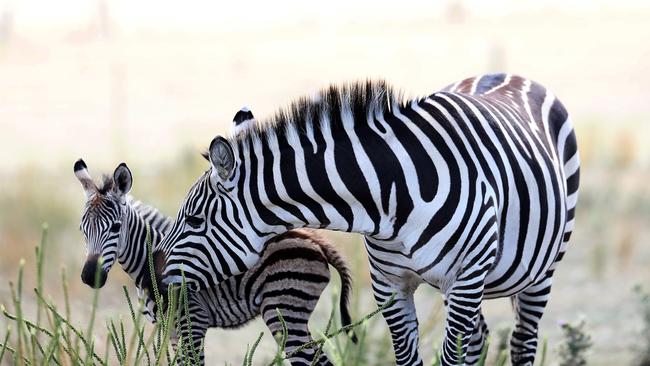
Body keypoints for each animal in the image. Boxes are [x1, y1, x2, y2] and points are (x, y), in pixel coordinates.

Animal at [161, 74, 576, 366]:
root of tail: (504, 74)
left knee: (521, 342)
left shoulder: (466, 276)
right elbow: (408, 357)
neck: (391, 199)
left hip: (539, 271)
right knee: (479, 343)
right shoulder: (389, 285)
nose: (160, 279)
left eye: (194, 220)